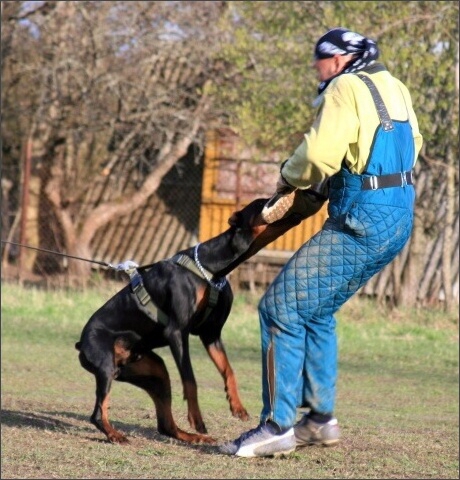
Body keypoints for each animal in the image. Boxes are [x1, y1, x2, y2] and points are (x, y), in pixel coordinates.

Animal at [75, 189, 326, 444]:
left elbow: (228, 370)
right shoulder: (177, 332)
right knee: (98, 412)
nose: (310, 193)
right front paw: (196, 418)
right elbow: (190, 379)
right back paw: (115, 434)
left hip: (153, 372)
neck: (212, 268)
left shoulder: (211, 334)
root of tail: (80, 344)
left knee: (166, 424)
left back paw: (195, 438)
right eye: (260, 203)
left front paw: (237, 407)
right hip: (106, 365)